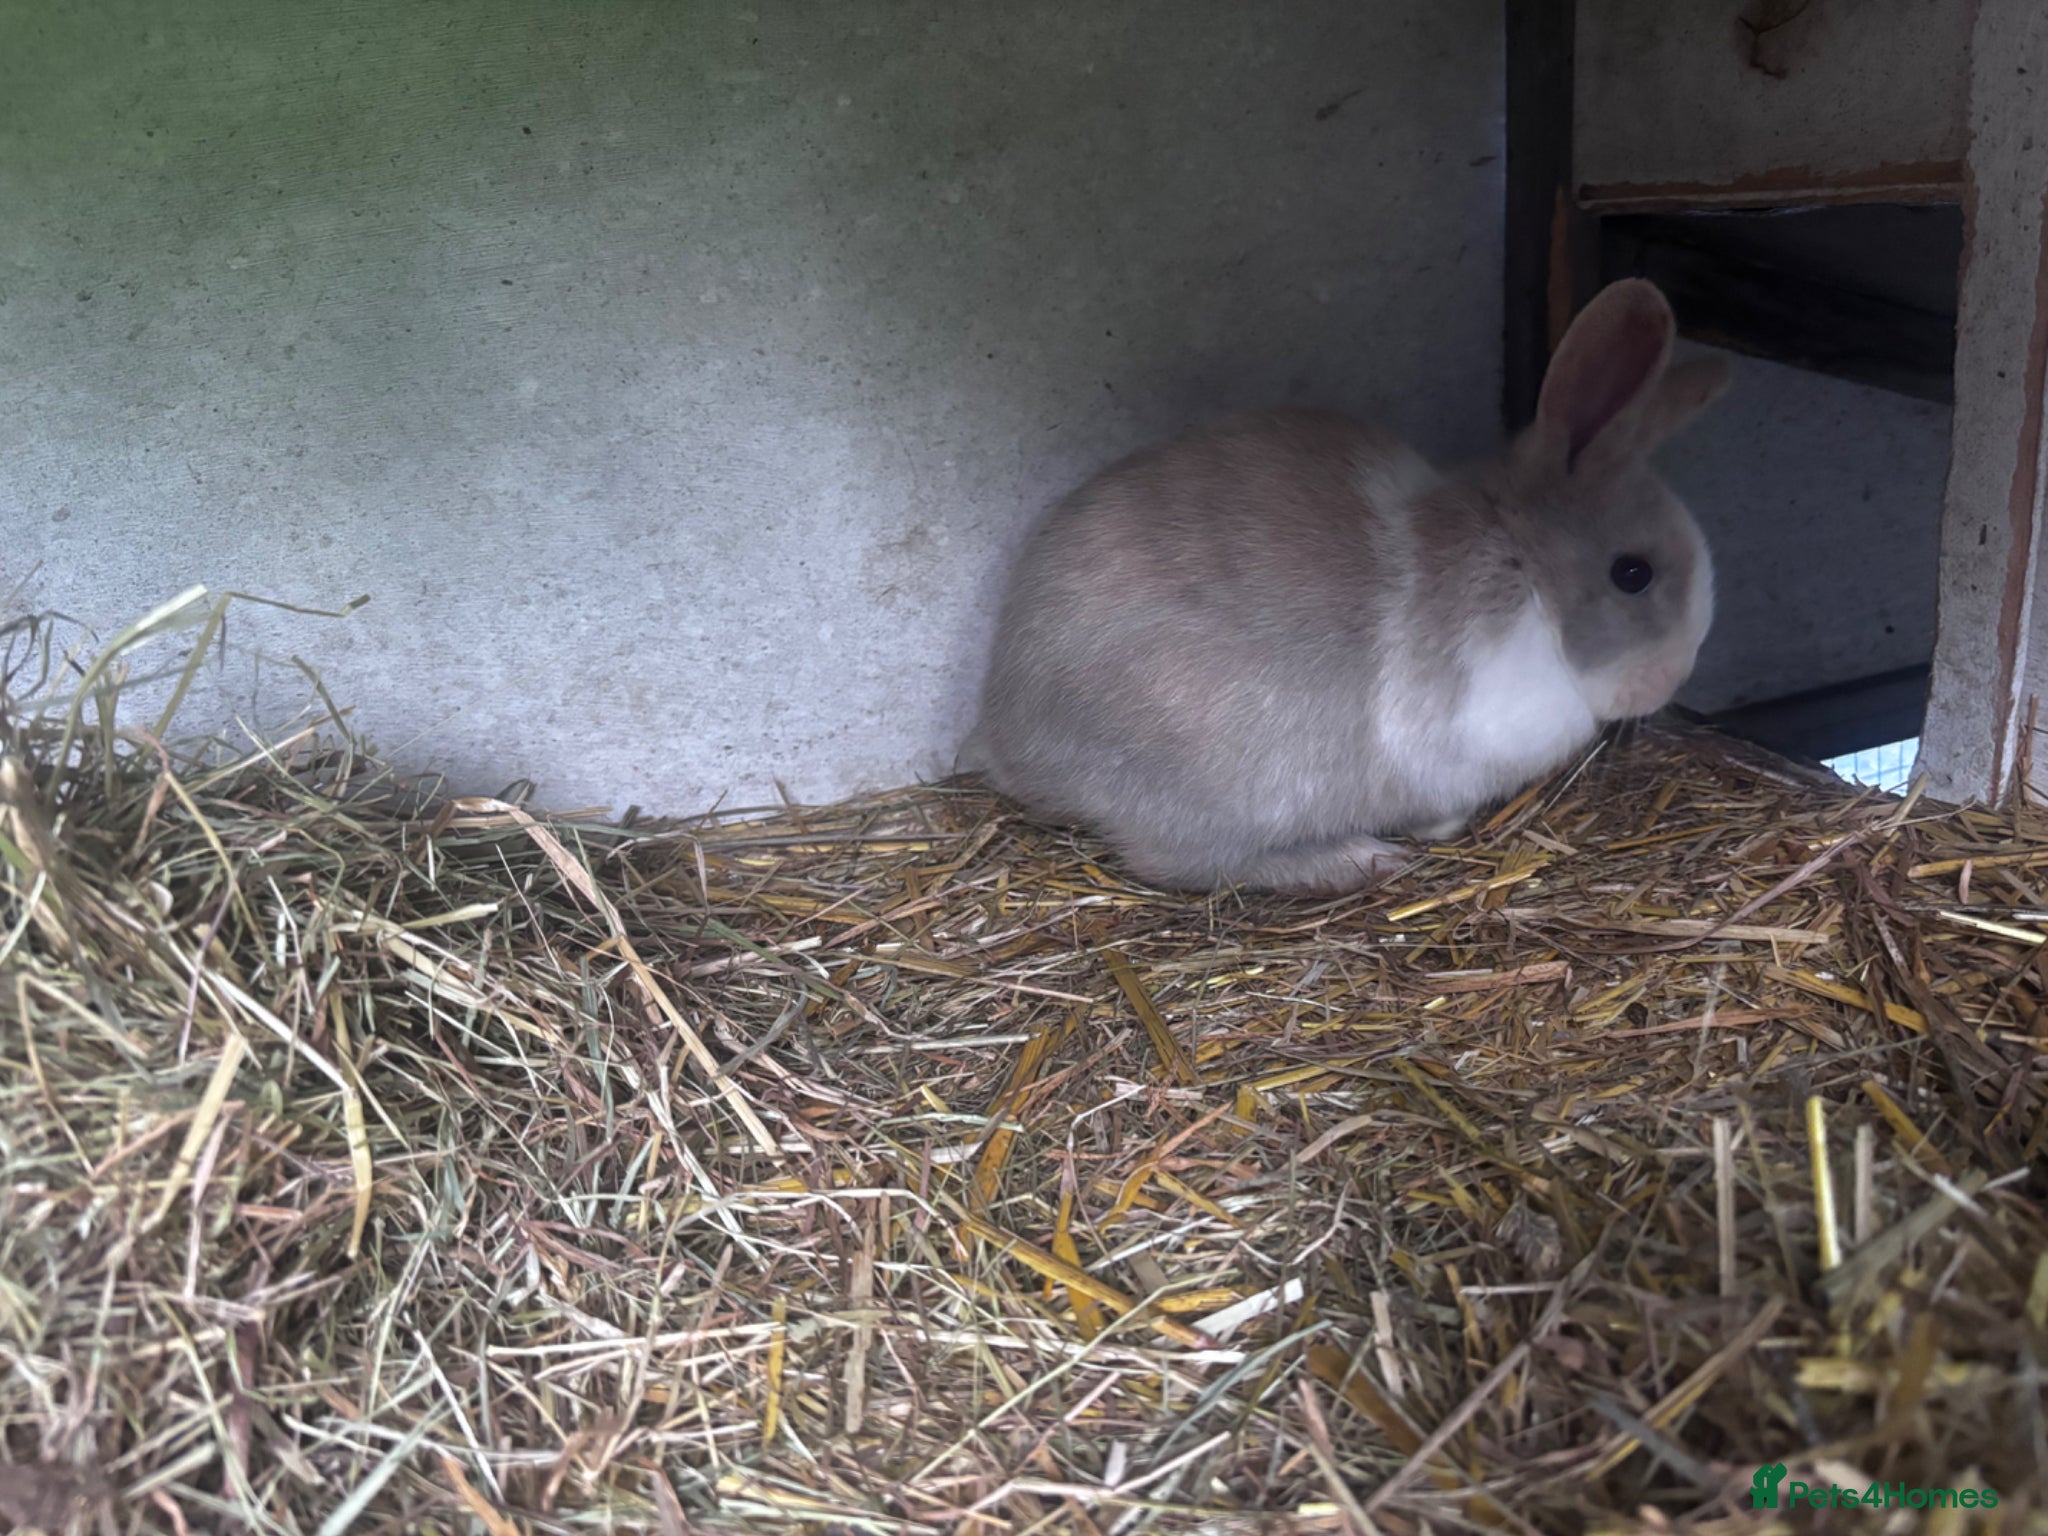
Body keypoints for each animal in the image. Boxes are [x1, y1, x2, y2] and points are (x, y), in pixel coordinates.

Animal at [958, 278, 1729, 896]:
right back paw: (1359, 861)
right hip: (1215, 791)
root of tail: (1010, 738)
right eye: (1632, 573)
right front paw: (1437, 830)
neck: (1525, 571)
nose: (1669, 681)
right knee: (1182, 863)